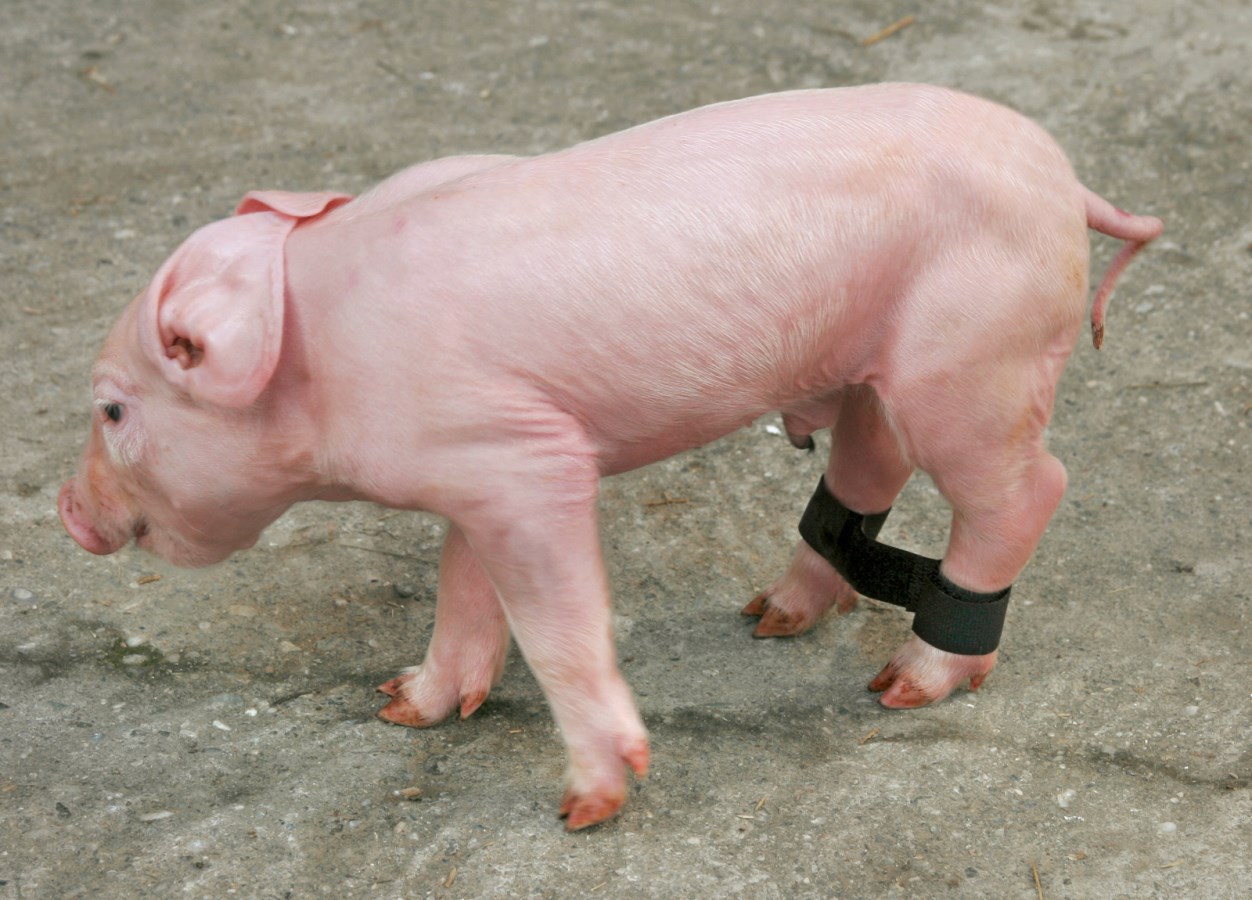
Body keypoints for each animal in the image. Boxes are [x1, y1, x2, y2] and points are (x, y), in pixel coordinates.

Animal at [58, 83, 1163, 830]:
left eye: (112, 409)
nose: (67, 512)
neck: (325, 361)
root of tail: (1064, 182)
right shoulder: (475, 469)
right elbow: (465, 590)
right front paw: (403, 710)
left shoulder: (532, 462)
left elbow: (557, 624)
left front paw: (587, 807)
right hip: (876, 366)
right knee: (869, 469)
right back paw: (768, 619)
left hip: (970, 359)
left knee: (1029, 490)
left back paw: (904, 685)